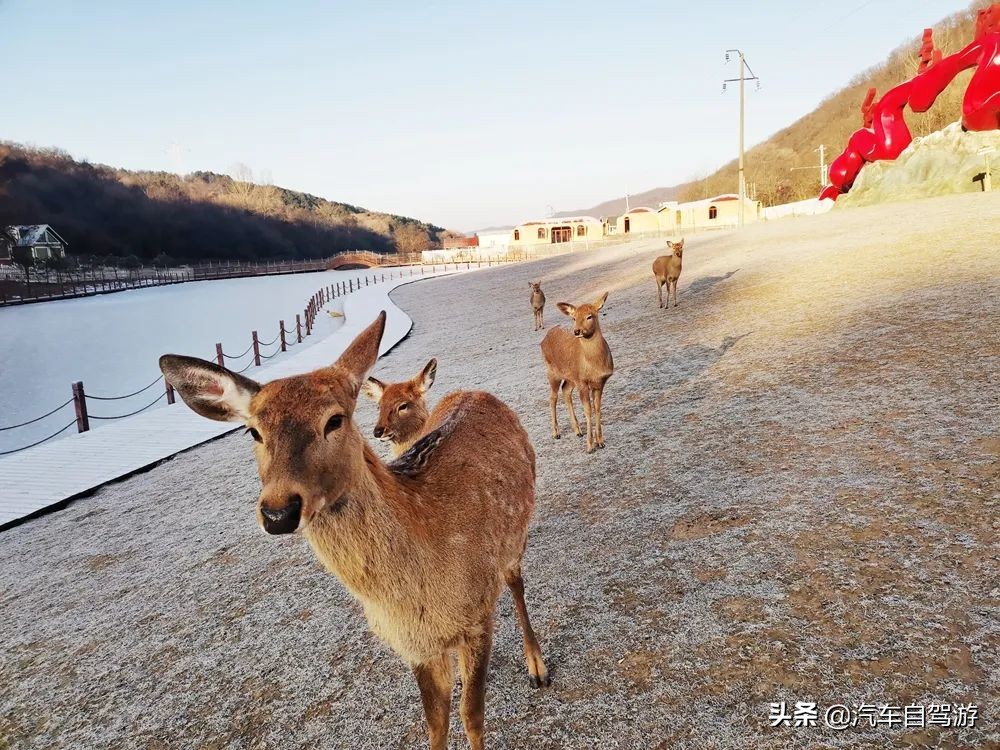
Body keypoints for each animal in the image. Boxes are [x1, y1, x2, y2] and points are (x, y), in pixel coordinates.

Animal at [159, 312, 550, 750]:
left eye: (334, 419)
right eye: (253, 432)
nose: (278, 512)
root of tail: (477, 392)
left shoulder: (478, 613)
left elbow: (473, 717)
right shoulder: (414, 645)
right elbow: (435, 724)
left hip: (514, 536)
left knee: (516, 583)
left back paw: (537, 665)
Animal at [540, 292, 613, 453]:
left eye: (589, 316)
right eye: (574, 318)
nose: (577, 331)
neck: (593, 367)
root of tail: (544, 339)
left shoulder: (600, 382)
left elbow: (597, 408)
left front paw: (601, 441)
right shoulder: (582, 382)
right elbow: (588, 410)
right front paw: (590, 446)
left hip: (570, 377)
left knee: (565, 390)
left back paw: (578, 430)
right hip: (552, 371)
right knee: (552, 397)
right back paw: (556, 433)